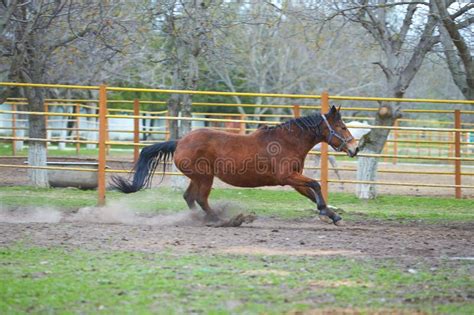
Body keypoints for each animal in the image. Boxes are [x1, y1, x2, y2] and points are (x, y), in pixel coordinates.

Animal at [112, 106, 356, 227]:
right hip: (205, 177)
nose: (355, 148)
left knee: (189, 197)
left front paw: (332, 215)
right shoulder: (287, 176)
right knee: (200, 199)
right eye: (343, 127)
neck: (287, 141)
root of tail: (180, 142)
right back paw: (223, 220)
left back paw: (200, 219)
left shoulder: (294, 179)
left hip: (198, 177)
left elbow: (311, 192)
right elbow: (316, 185)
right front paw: (327, 212)